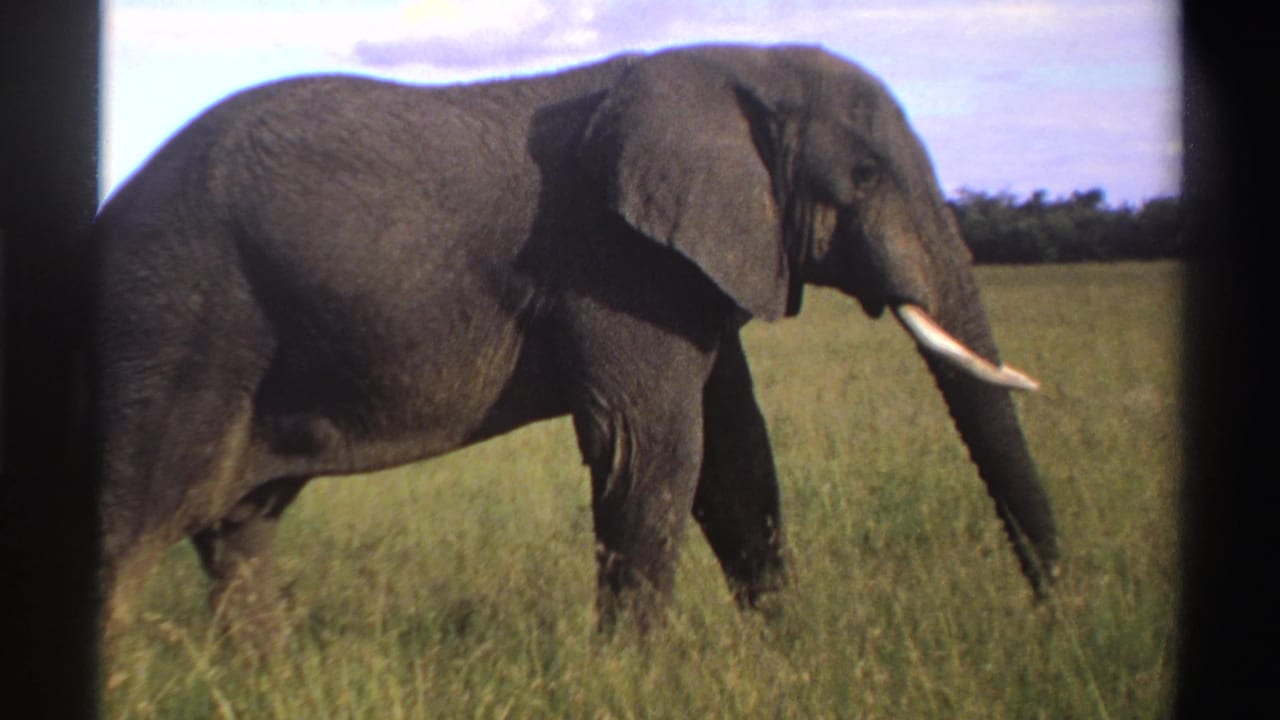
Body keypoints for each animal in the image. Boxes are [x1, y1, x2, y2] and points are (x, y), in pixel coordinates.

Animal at [92, 43, 1058, 646]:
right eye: (863, 175)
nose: (1054, 615)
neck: (733, 64)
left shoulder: (682, 272)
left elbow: (735, 457)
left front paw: (785, 652)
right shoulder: (616, 266)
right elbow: (655, 450)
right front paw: (636, 677)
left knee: (238, 529)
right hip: (174, 319)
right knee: (127, 526)